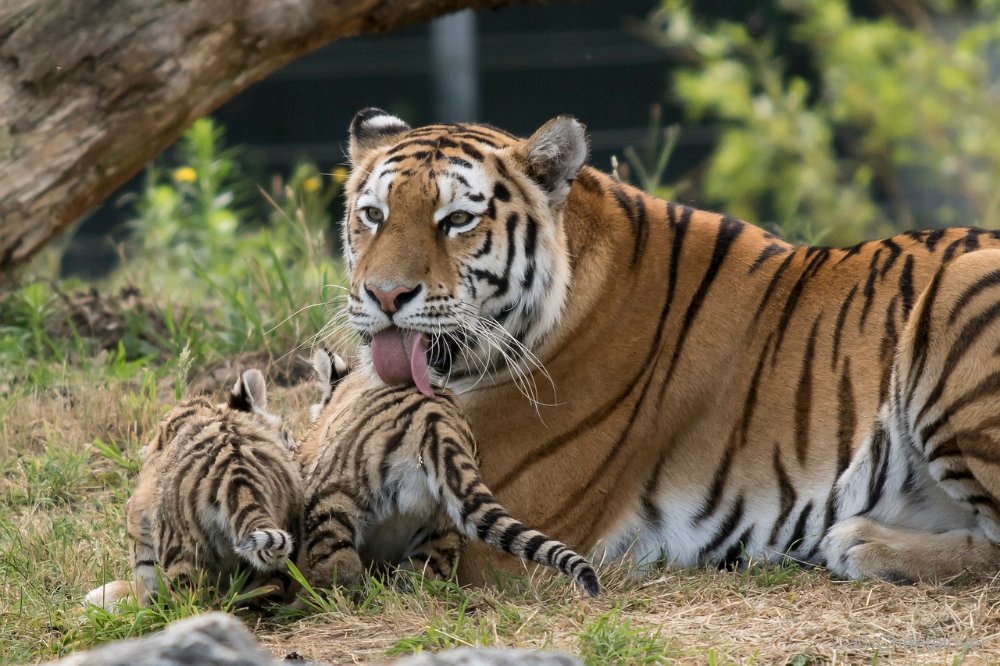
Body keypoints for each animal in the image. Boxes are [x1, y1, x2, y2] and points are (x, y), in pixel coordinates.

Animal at [86, 360, 596, 608]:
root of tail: (438, 421)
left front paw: (105, 598)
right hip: (442, 527)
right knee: (421, 577)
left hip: (333, 494)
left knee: (333, 571)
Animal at [334, 105, 1000, 580]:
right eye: (373, 215)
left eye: (457, 221)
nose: (385, 295)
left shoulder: (491, 528)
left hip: (960, 288)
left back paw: (858, 542)